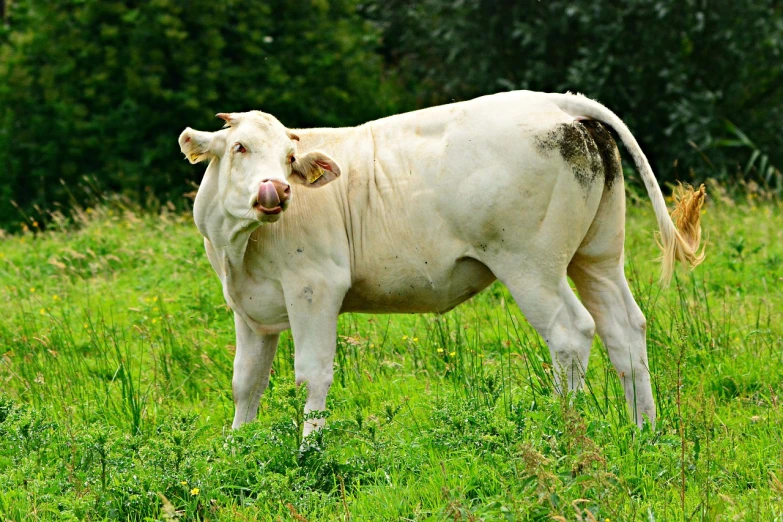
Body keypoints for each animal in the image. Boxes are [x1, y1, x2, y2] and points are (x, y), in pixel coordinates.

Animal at [181, 90, 708, 434]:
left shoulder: (315, 288)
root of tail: (562, 102)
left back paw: (564, 431)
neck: (239, 250)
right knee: (626, 329)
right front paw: (238, 449)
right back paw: (644, 433)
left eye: (291, 158)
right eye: (239, 147)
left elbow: (311, 373)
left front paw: (308, 453)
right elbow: (246, 383)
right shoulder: (249, 309)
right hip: (597, 256)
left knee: (571, 332)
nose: (277, 189)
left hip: (530, 265)